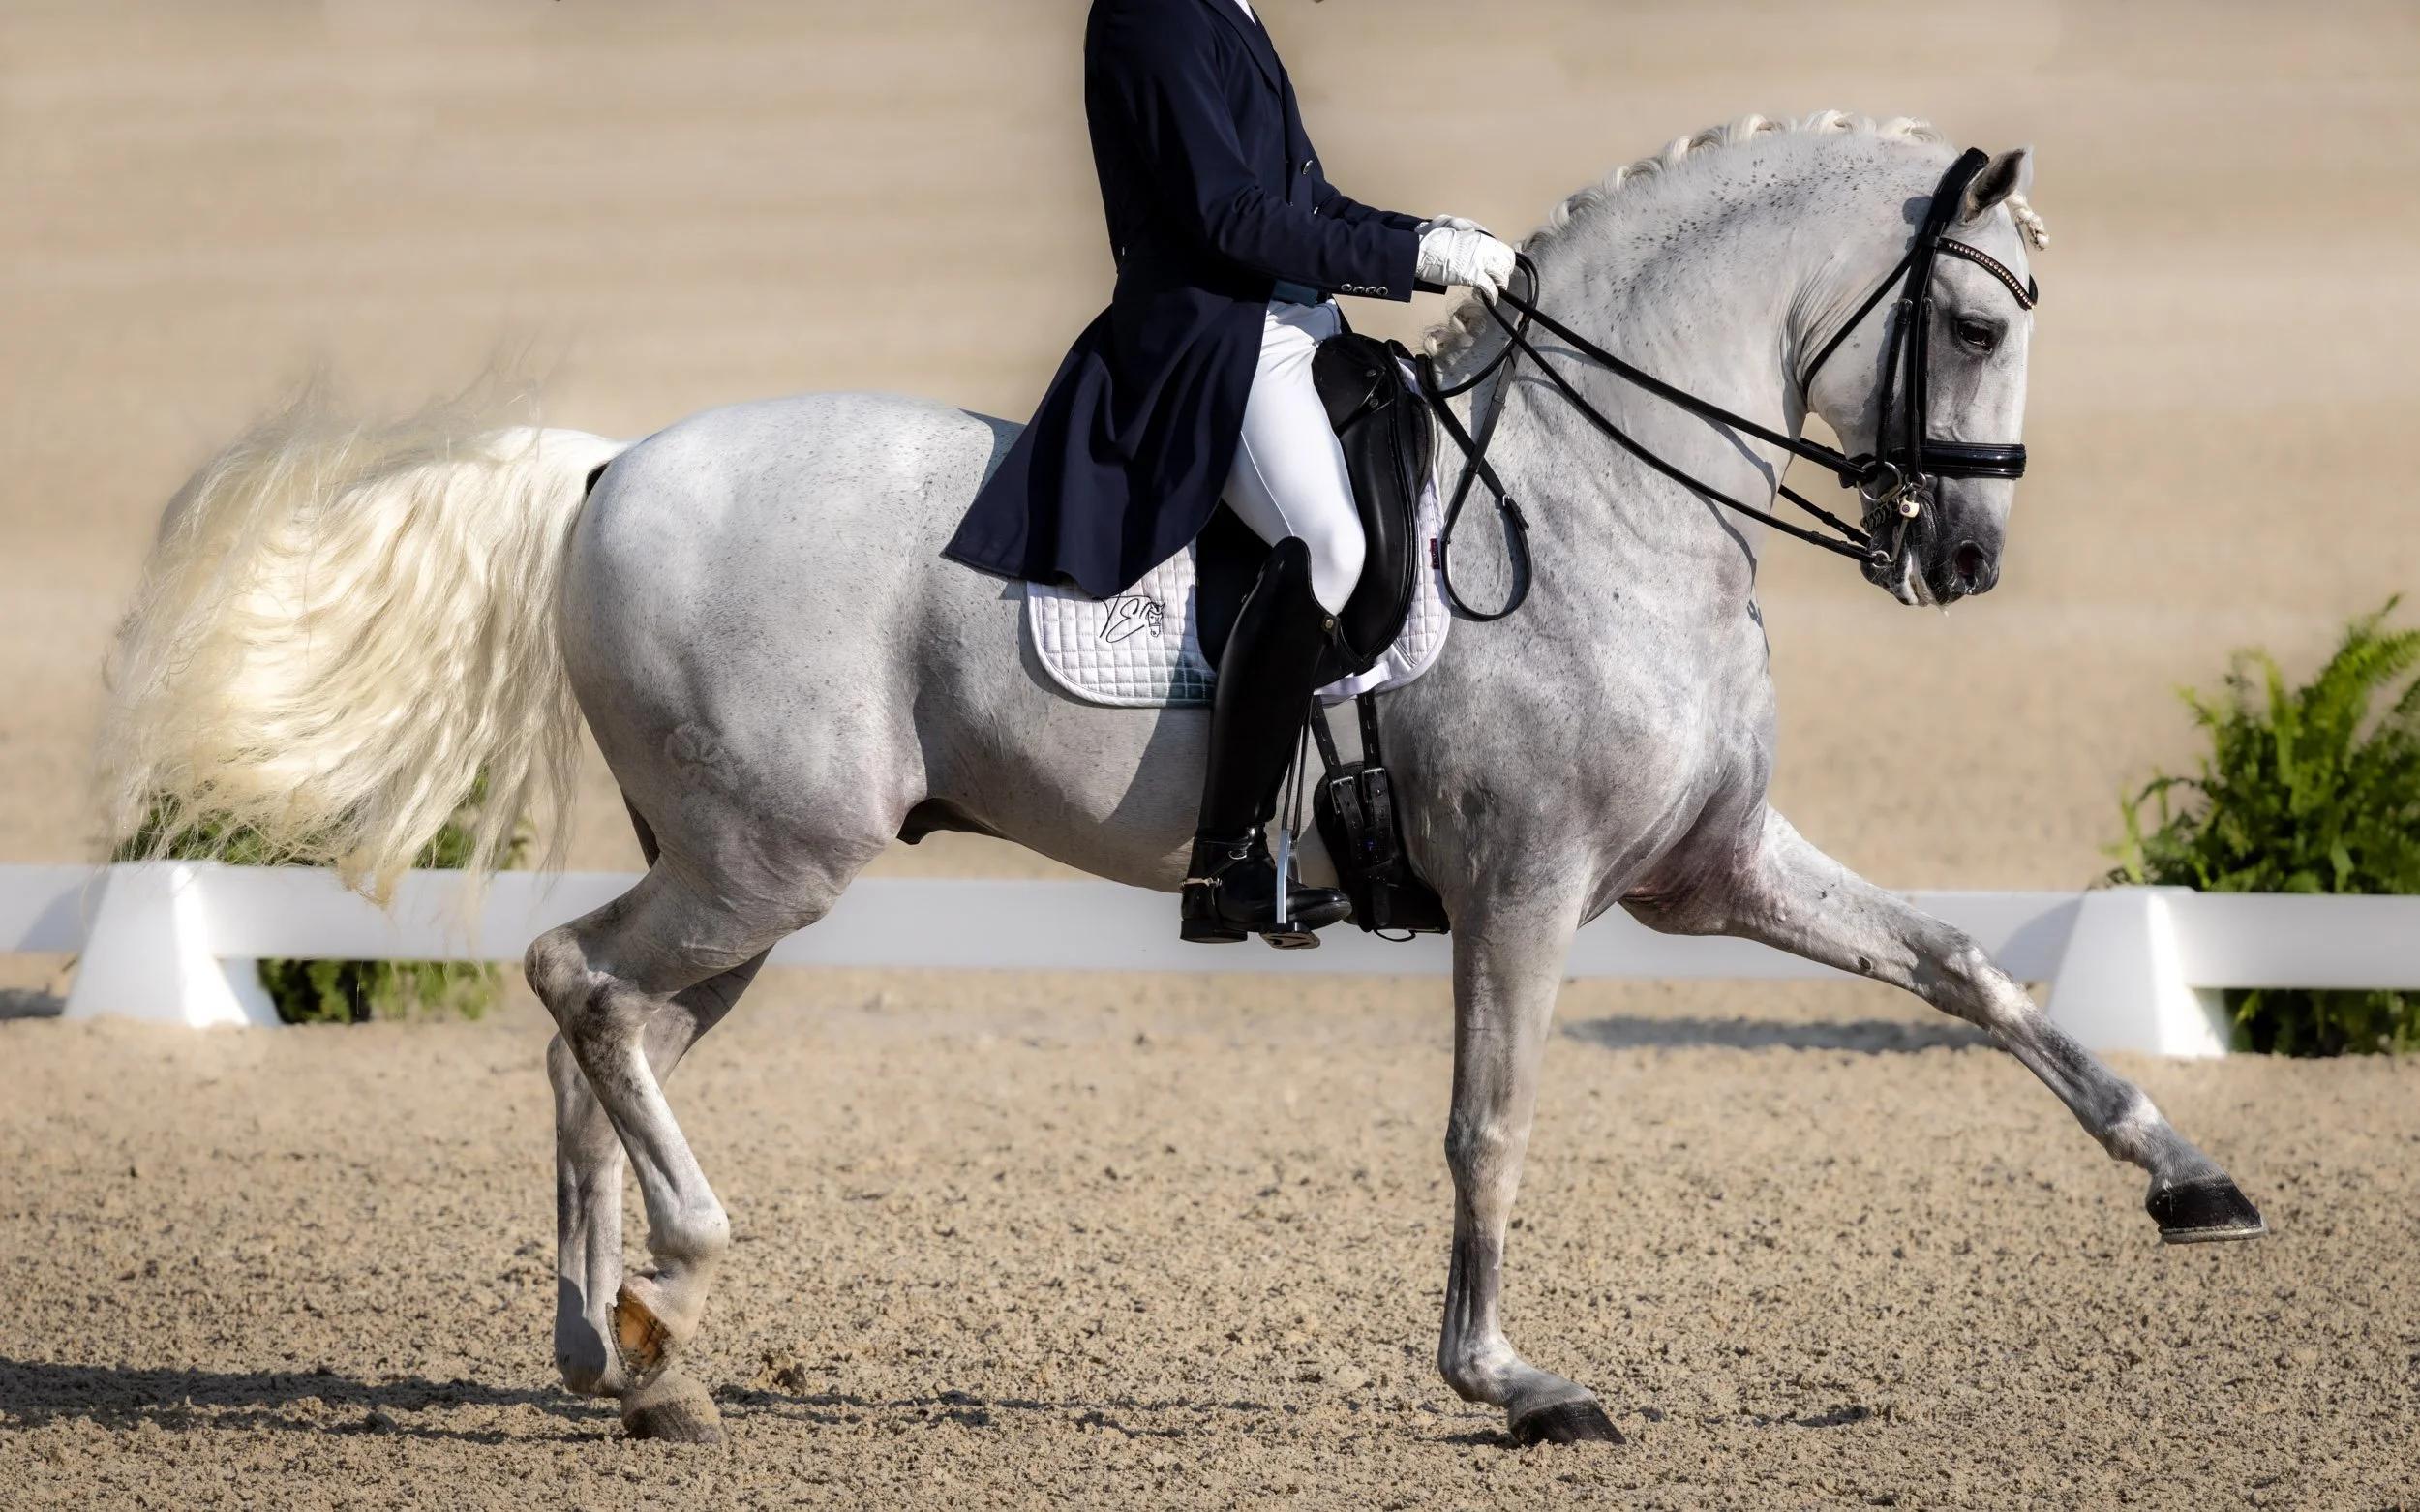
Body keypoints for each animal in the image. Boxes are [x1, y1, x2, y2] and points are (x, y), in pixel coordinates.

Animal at [97, 112, 2265, 1448]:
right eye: (1970, 321)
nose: (1958, 559)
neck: (1605, 499)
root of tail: (616, 464)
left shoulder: (1711, 865)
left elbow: (1969, 975)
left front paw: (2189, 1177)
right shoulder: (1529, 888)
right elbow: (1491, 1128)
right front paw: (1509, 1379)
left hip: (746, 876)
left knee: (594, 1023)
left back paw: (626, 1352)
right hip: (770, 861)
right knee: (577, 987)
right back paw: (669, 1296)